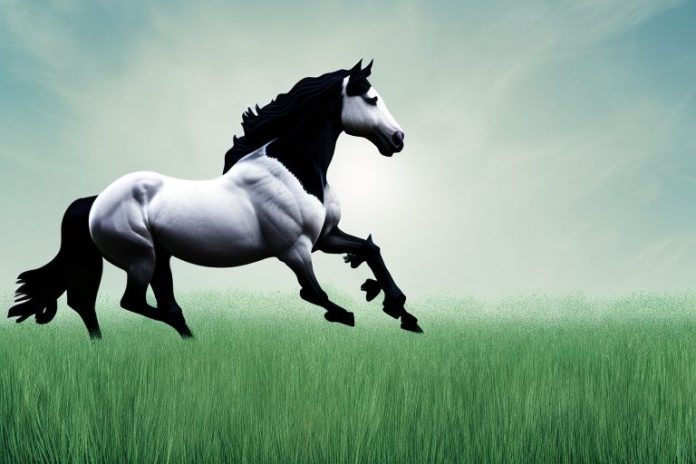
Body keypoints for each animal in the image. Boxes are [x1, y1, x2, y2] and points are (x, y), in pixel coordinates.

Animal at [9, 60, 422, 337]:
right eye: (371, 99)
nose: (398, 139)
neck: (295, 168)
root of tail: (93, 201)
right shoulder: (295, 248)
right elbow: (313, 292)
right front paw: (349, 313)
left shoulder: (325, 237)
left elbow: (370, 250)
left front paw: (402, 312)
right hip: (140, 258)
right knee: (130, 302)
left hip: (159, 258)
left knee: (130, 303)